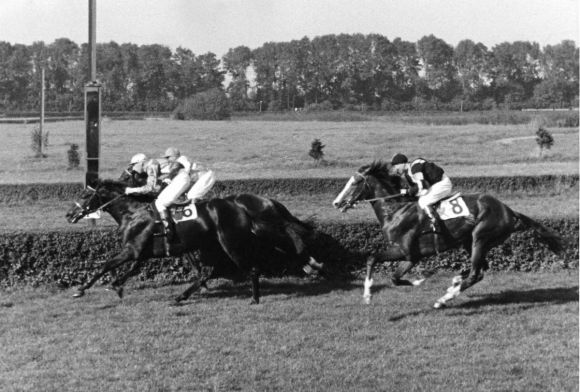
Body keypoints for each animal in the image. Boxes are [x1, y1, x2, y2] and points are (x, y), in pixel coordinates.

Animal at [68, 179, 324, 304]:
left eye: (85, 195)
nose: (69, 215)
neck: (132, 212)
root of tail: (238, 207)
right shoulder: (142, 252)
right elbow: (127, 269)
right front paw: (117, 286)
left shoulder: (132, 249)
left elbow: (106, 265)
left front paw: (80, 290)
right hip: (214, 245)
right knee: (209, 271)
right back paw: (180, 297)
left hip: (230, 243)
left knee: (251, 267)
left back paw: (255, 298)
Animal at [334, 161, 564, 308]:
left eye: (354, 182)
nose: (336, 203)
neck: (396, 210)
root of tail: (509, 211)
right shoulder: (409, 255)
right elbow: (388, 273)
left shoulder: (406, 252)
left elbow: (378, 263)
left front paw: (370, 295)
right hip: (471, 242)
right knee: (481, 270)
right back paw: (454, 283)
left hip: (481, 238)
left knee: (475, 273)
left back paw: (445, 298)